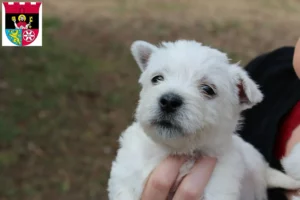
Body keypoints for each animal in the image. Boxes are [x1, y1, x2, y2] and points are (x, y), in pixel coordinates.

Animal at [108, 40, 300, 200]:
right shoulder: (126, 178)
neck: (178, 151)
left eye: (208, 89)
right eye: (157, 78)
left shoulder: (218, 188)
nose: (169, 101)